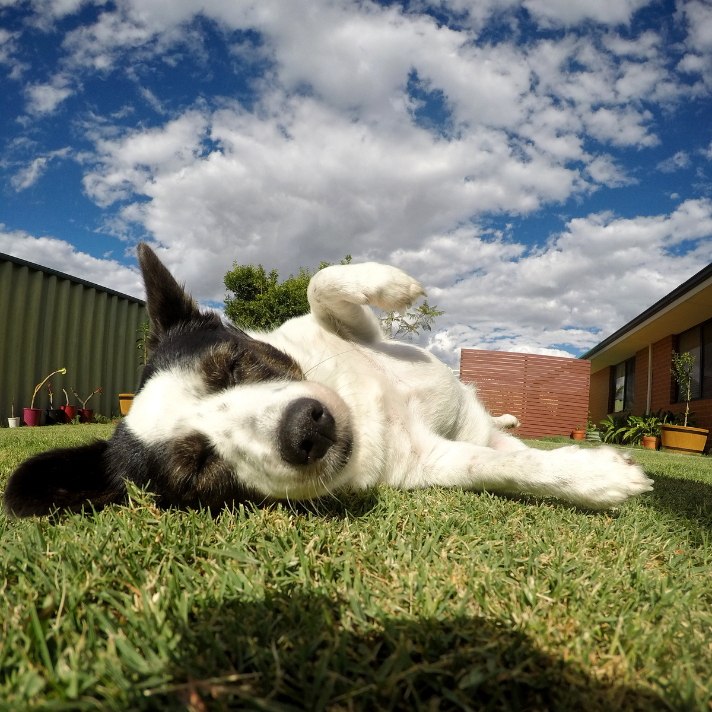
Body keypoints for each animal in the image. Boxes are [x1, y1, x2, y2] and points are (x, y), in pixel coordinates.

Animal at [4, 245, 652, 516]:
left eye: (233, 364)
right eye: (196, 471)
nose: (306, 431)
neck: (368, 412)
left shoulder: (354, 330)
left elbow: (322, 285)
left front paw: (395, 283)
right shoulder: (432, 463)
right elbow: (502, 467)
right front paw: (594, 477)